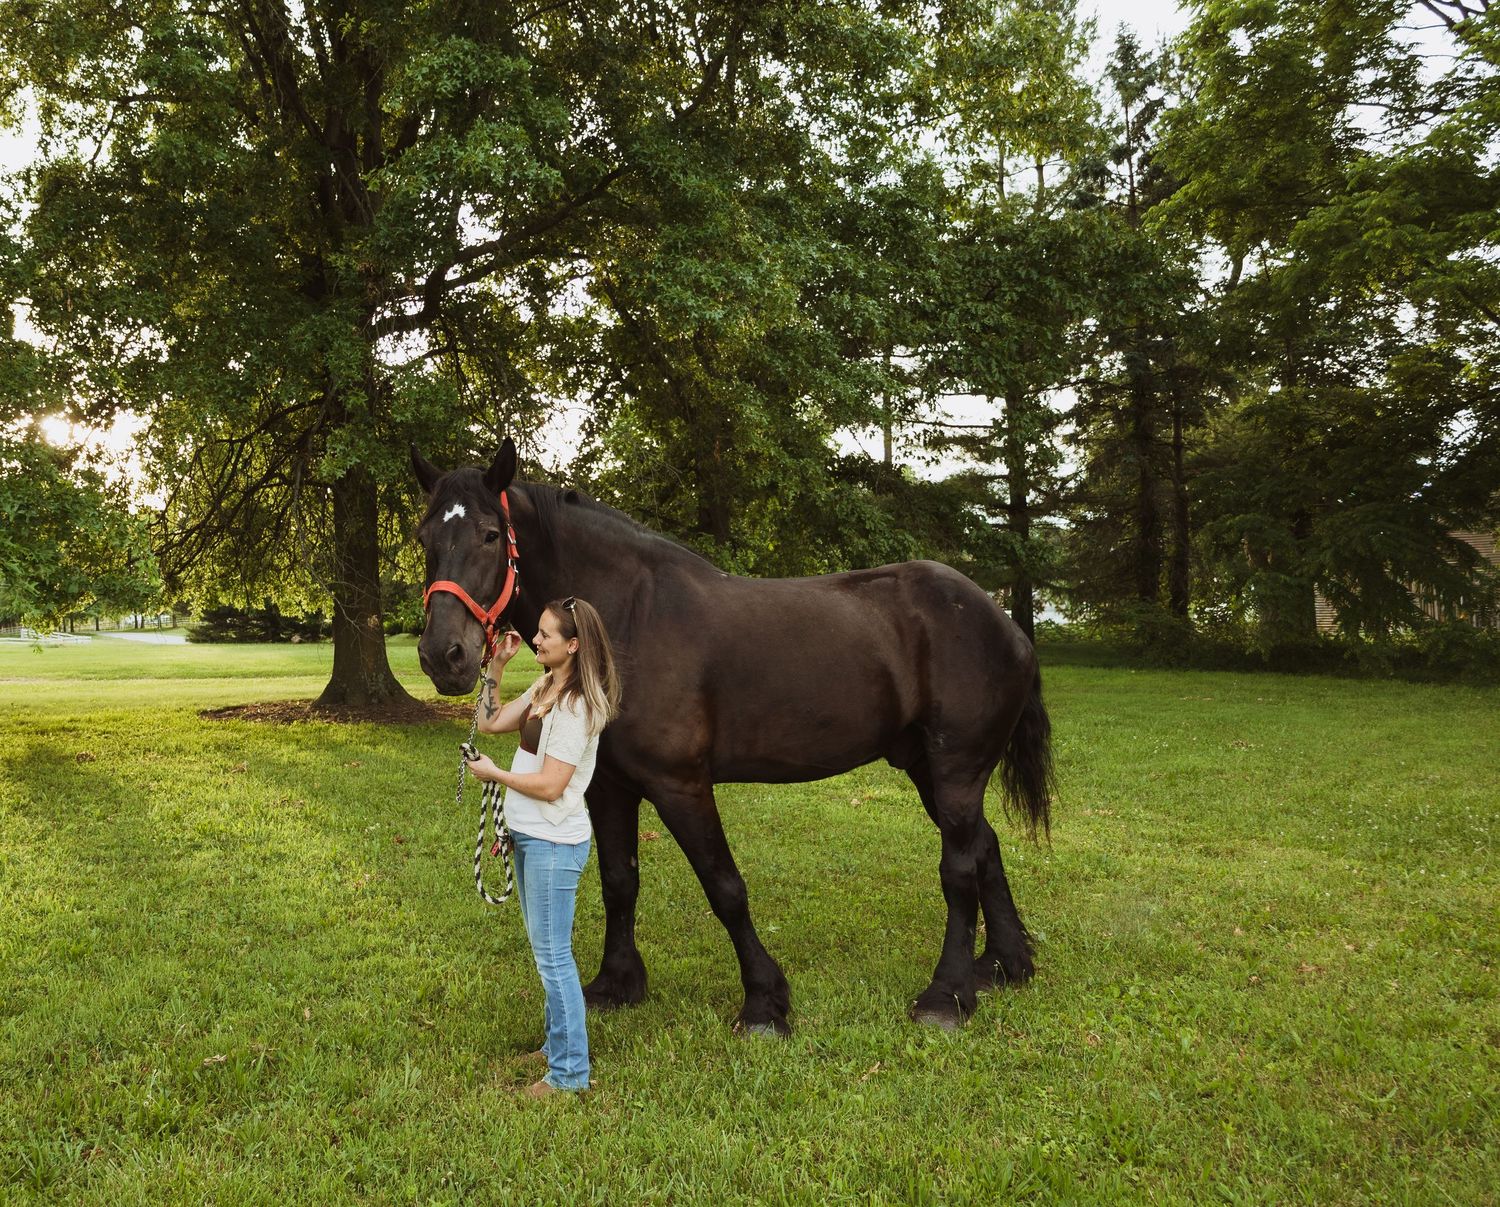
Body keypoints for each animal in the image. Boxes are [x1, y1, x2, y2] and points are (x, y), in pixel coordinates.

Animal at [411, 438, 1056, 1034]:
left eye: (490, 535)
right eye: (423, 540)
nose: (444, 655)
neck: (626, 622)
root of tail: (1002, 621)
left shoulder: (680, 785)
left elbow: (724, 887)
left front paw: (765, 1002)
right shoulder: (609, 786)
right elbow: (620, 881)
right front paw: (616, 984)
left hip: (956, 770)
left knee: (961, 868)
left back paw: (947, 996)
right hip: (927, 767)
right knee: (986, 849)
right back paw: (1003, 966)